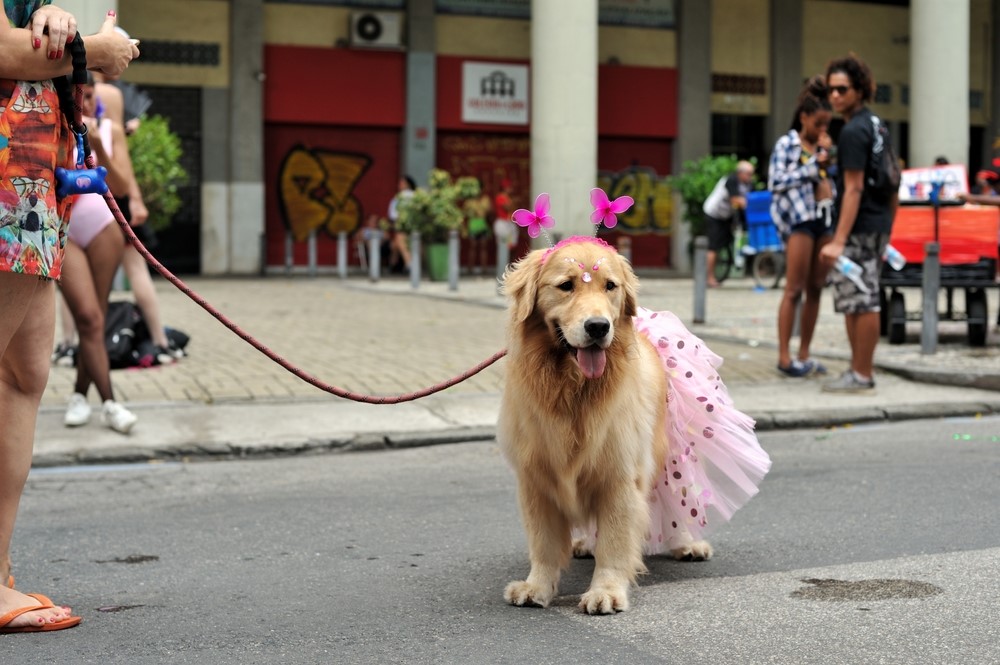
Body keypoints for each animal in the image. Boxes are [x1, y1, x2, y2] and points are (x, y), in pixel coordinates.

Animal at [498, 236, 712, 616]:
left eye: (610, 286)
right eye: (566, 285)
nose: (598, 327)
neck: (571, 388)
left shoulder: (619, 478)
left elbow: (615, 543)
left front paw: (606, 592)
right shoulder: (535, 478)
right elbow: (544, 542)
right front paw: (537, 586)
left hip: (669, 458)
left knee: (679, 501)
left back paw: (687, 542)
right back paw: (585, 542)